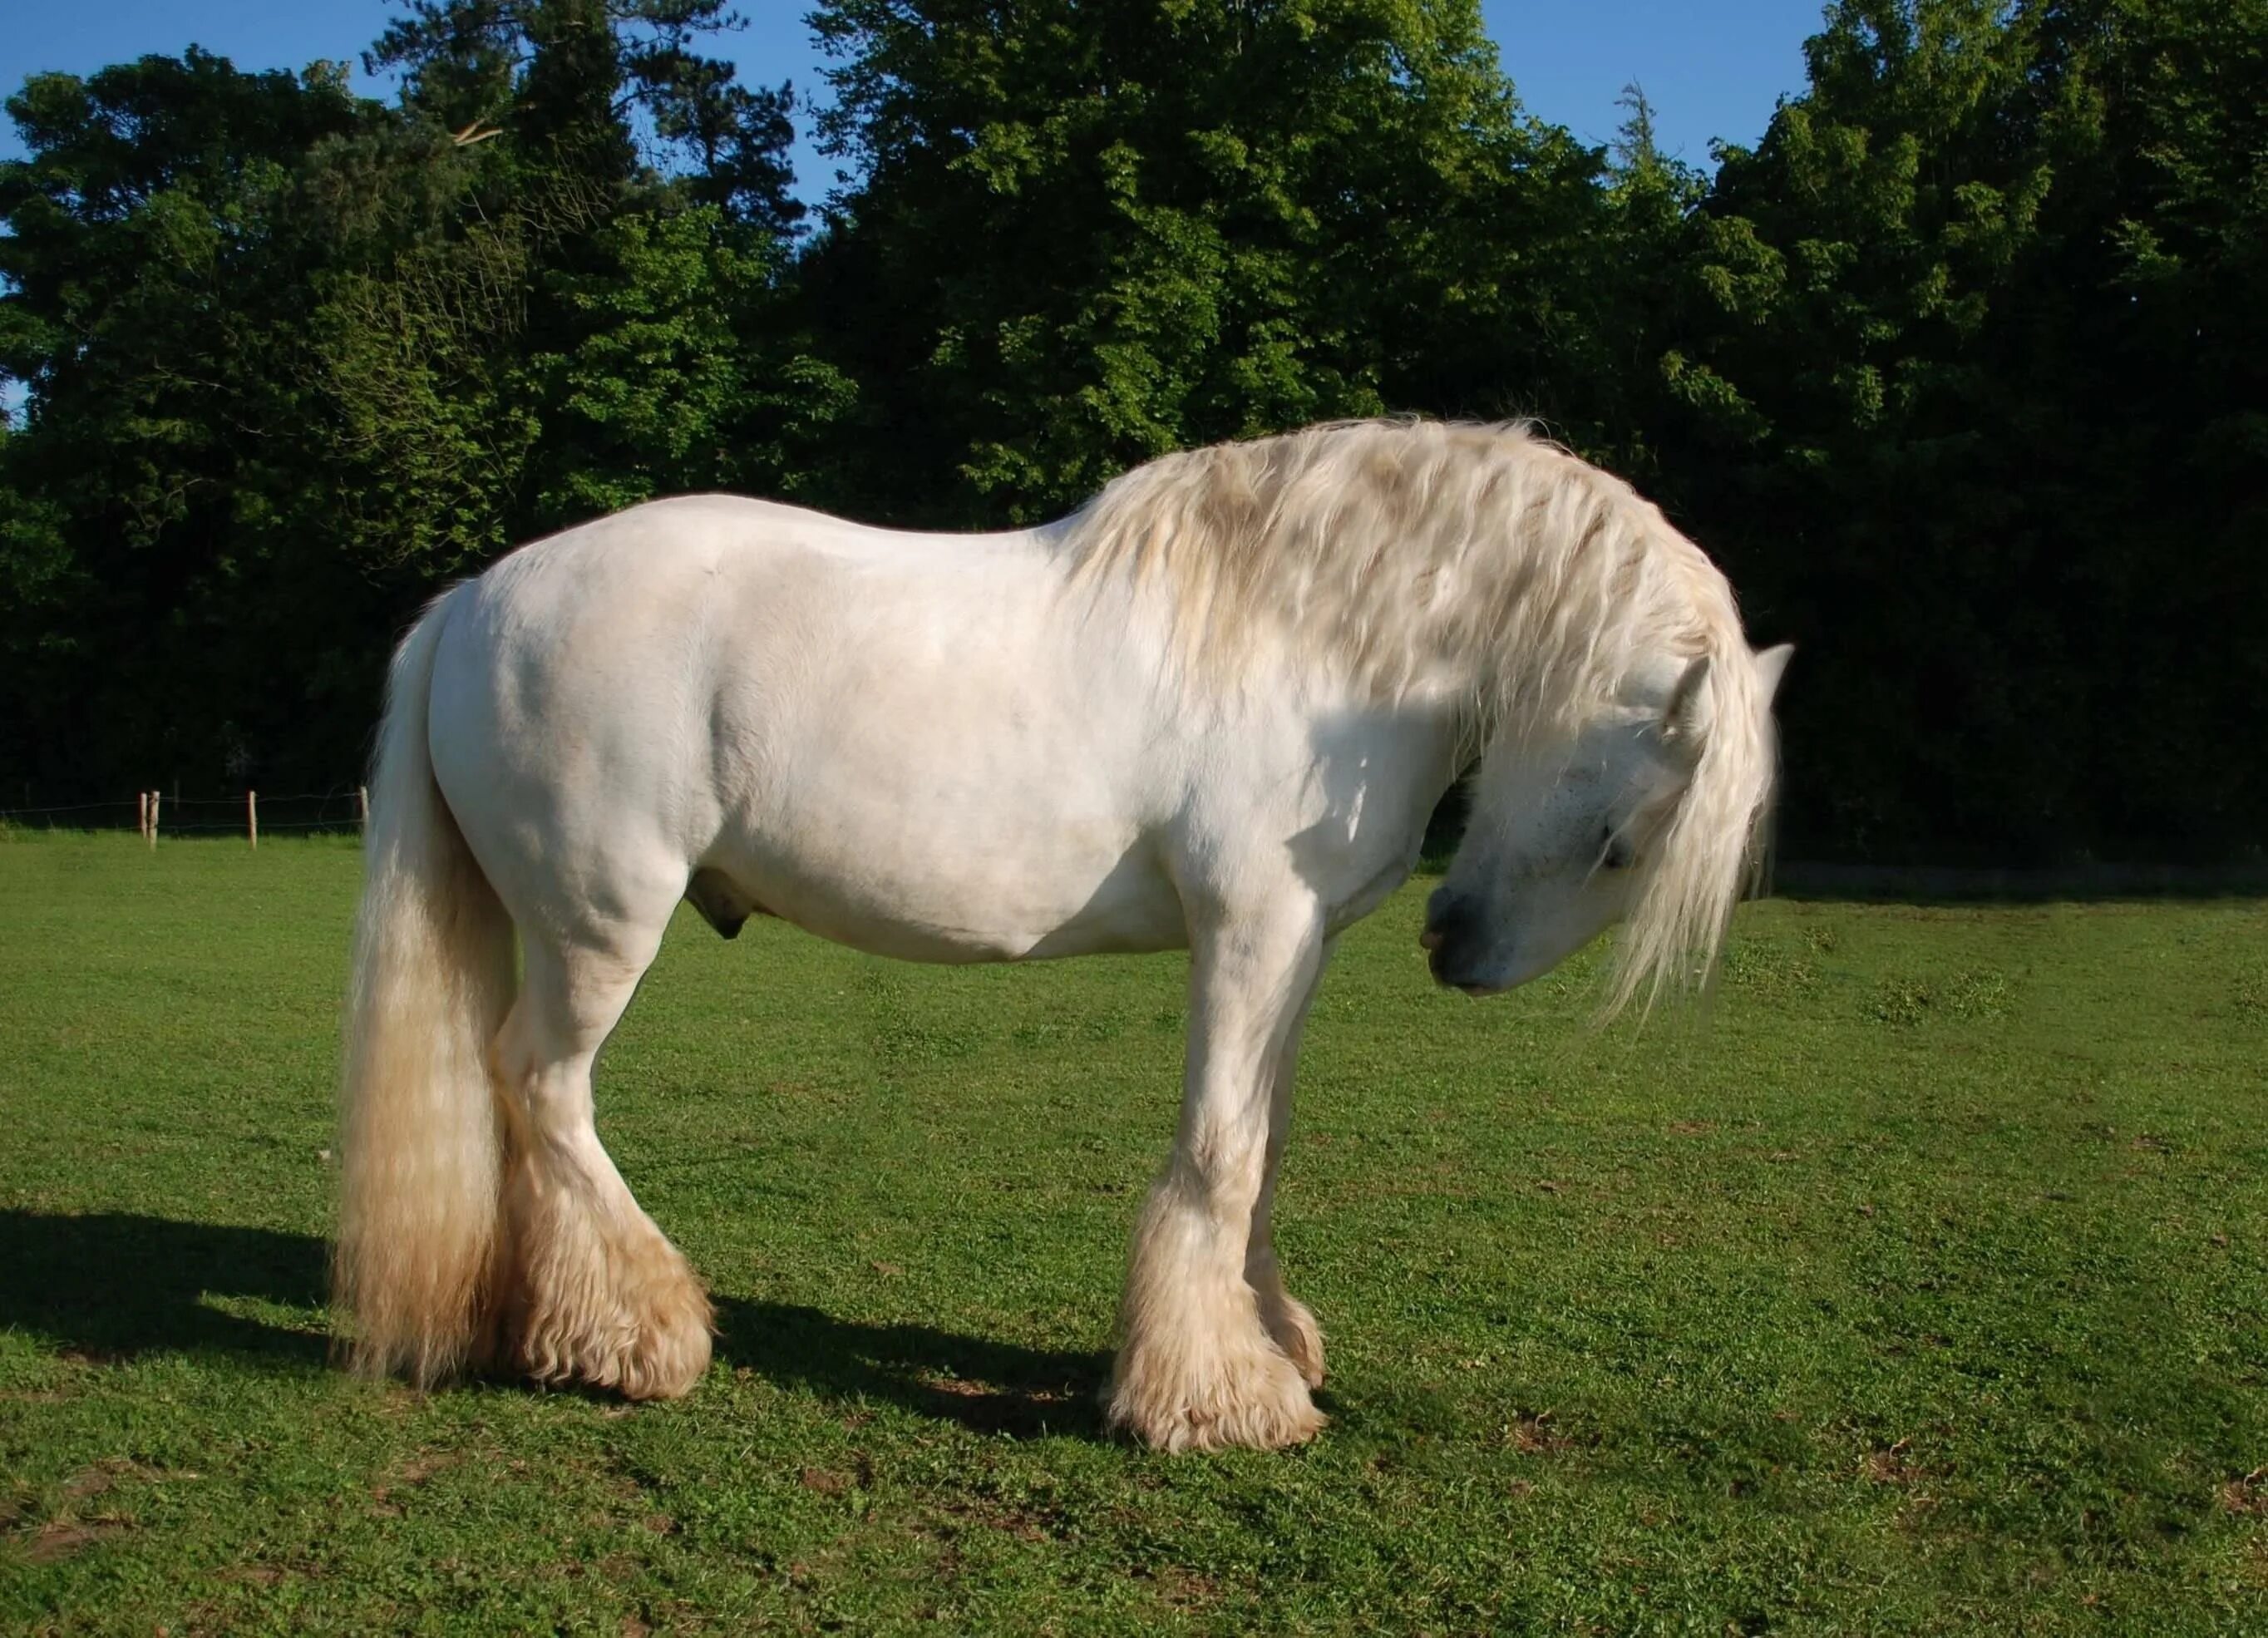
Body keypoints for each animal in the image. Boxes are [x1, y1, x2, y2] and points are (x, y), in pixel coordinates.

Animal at [335, 415, 1787, 1452]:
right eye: (1624, 842)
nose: (1457, 949)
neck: (1316, 634)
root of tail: (475, 600)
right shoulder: (1251, 929)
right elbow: (1219, 1152)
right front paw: (1219, 1399)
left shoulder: (1297, 948)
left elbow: (1264, 1146)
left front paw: (1266, 1338)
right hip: (598, 929)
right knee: (544, 1087)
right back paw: (643, 1337)